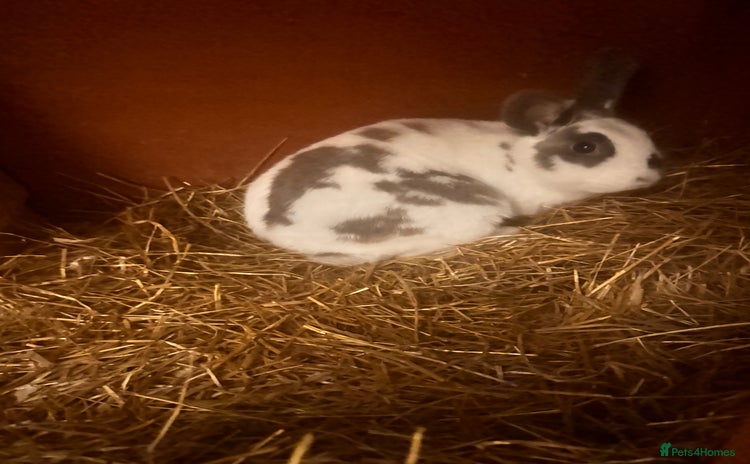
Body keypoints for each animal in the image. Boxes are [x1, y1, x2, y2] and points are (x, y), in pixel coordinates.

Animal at [244, 50, 664, 265]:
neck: (518, 159)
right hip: (466, 208)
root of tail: (273, 223)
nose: (654, 164)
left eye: (633, 127)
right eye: (586, 147)